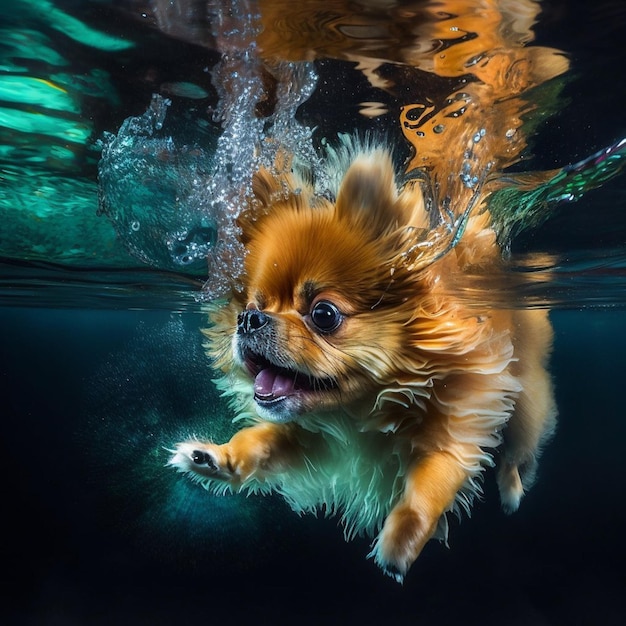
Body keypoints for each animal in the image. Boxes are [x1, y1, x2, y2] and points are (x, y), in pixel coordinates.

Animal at [167, 140, 556, 580]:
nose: (249, 320)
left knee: (519, 450)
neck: (355, 414)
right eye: (250, 307)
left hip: (525, 399)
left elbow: (428, 488)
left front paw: (398, 542)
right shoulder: (308, 440)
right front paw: (216, 459)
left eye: (323, 314)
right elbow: (257, 442)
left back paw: (511, 492)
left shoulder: (454, 431)